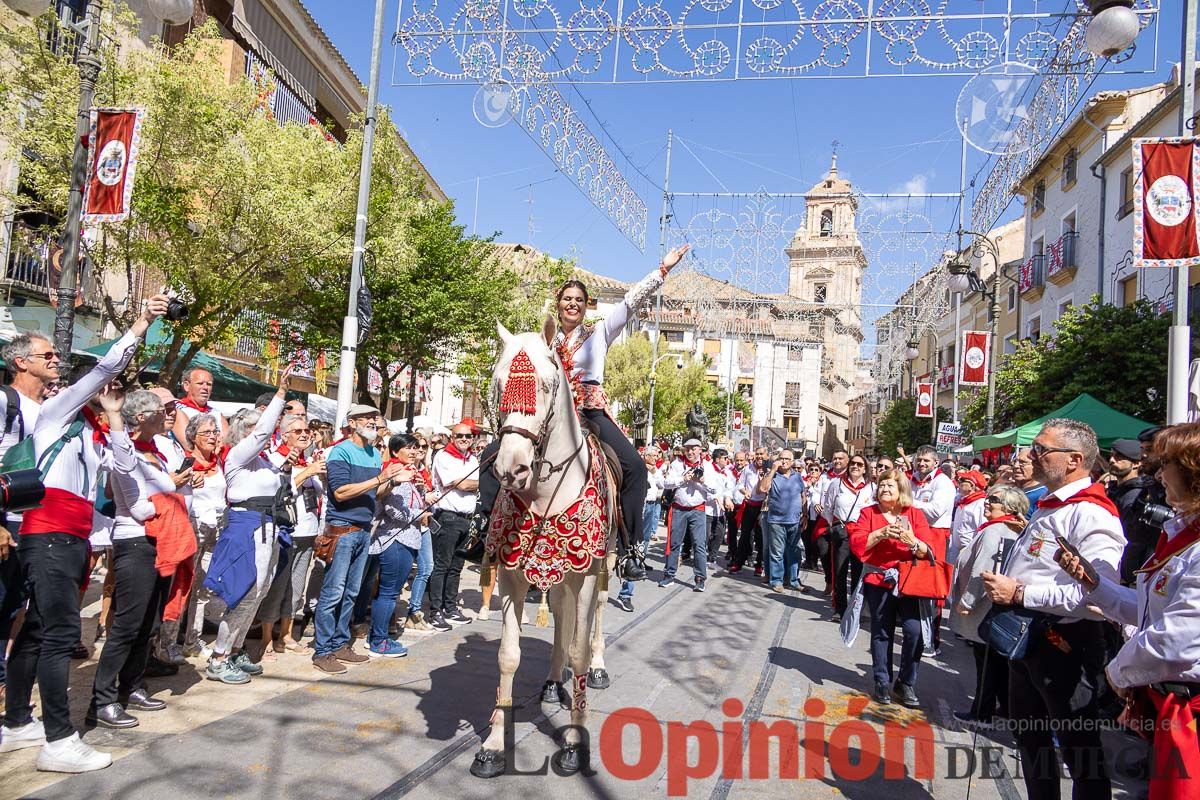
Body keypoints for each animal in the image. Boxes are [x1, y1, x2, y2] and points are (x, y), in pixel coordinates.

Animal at [470, 316, 619, 777]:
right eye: (498, 383)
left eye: (548, 385)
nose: (511, 468)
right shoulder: (513, 576)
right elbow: (508, 655)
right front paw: (493, 746)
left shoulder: (585, 573)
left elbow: (579, 652)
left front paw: (573, 743)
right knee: (560, 616)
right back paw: (553, 682)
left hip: (604, 565)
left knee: (595, 615)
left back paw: (599, 668)